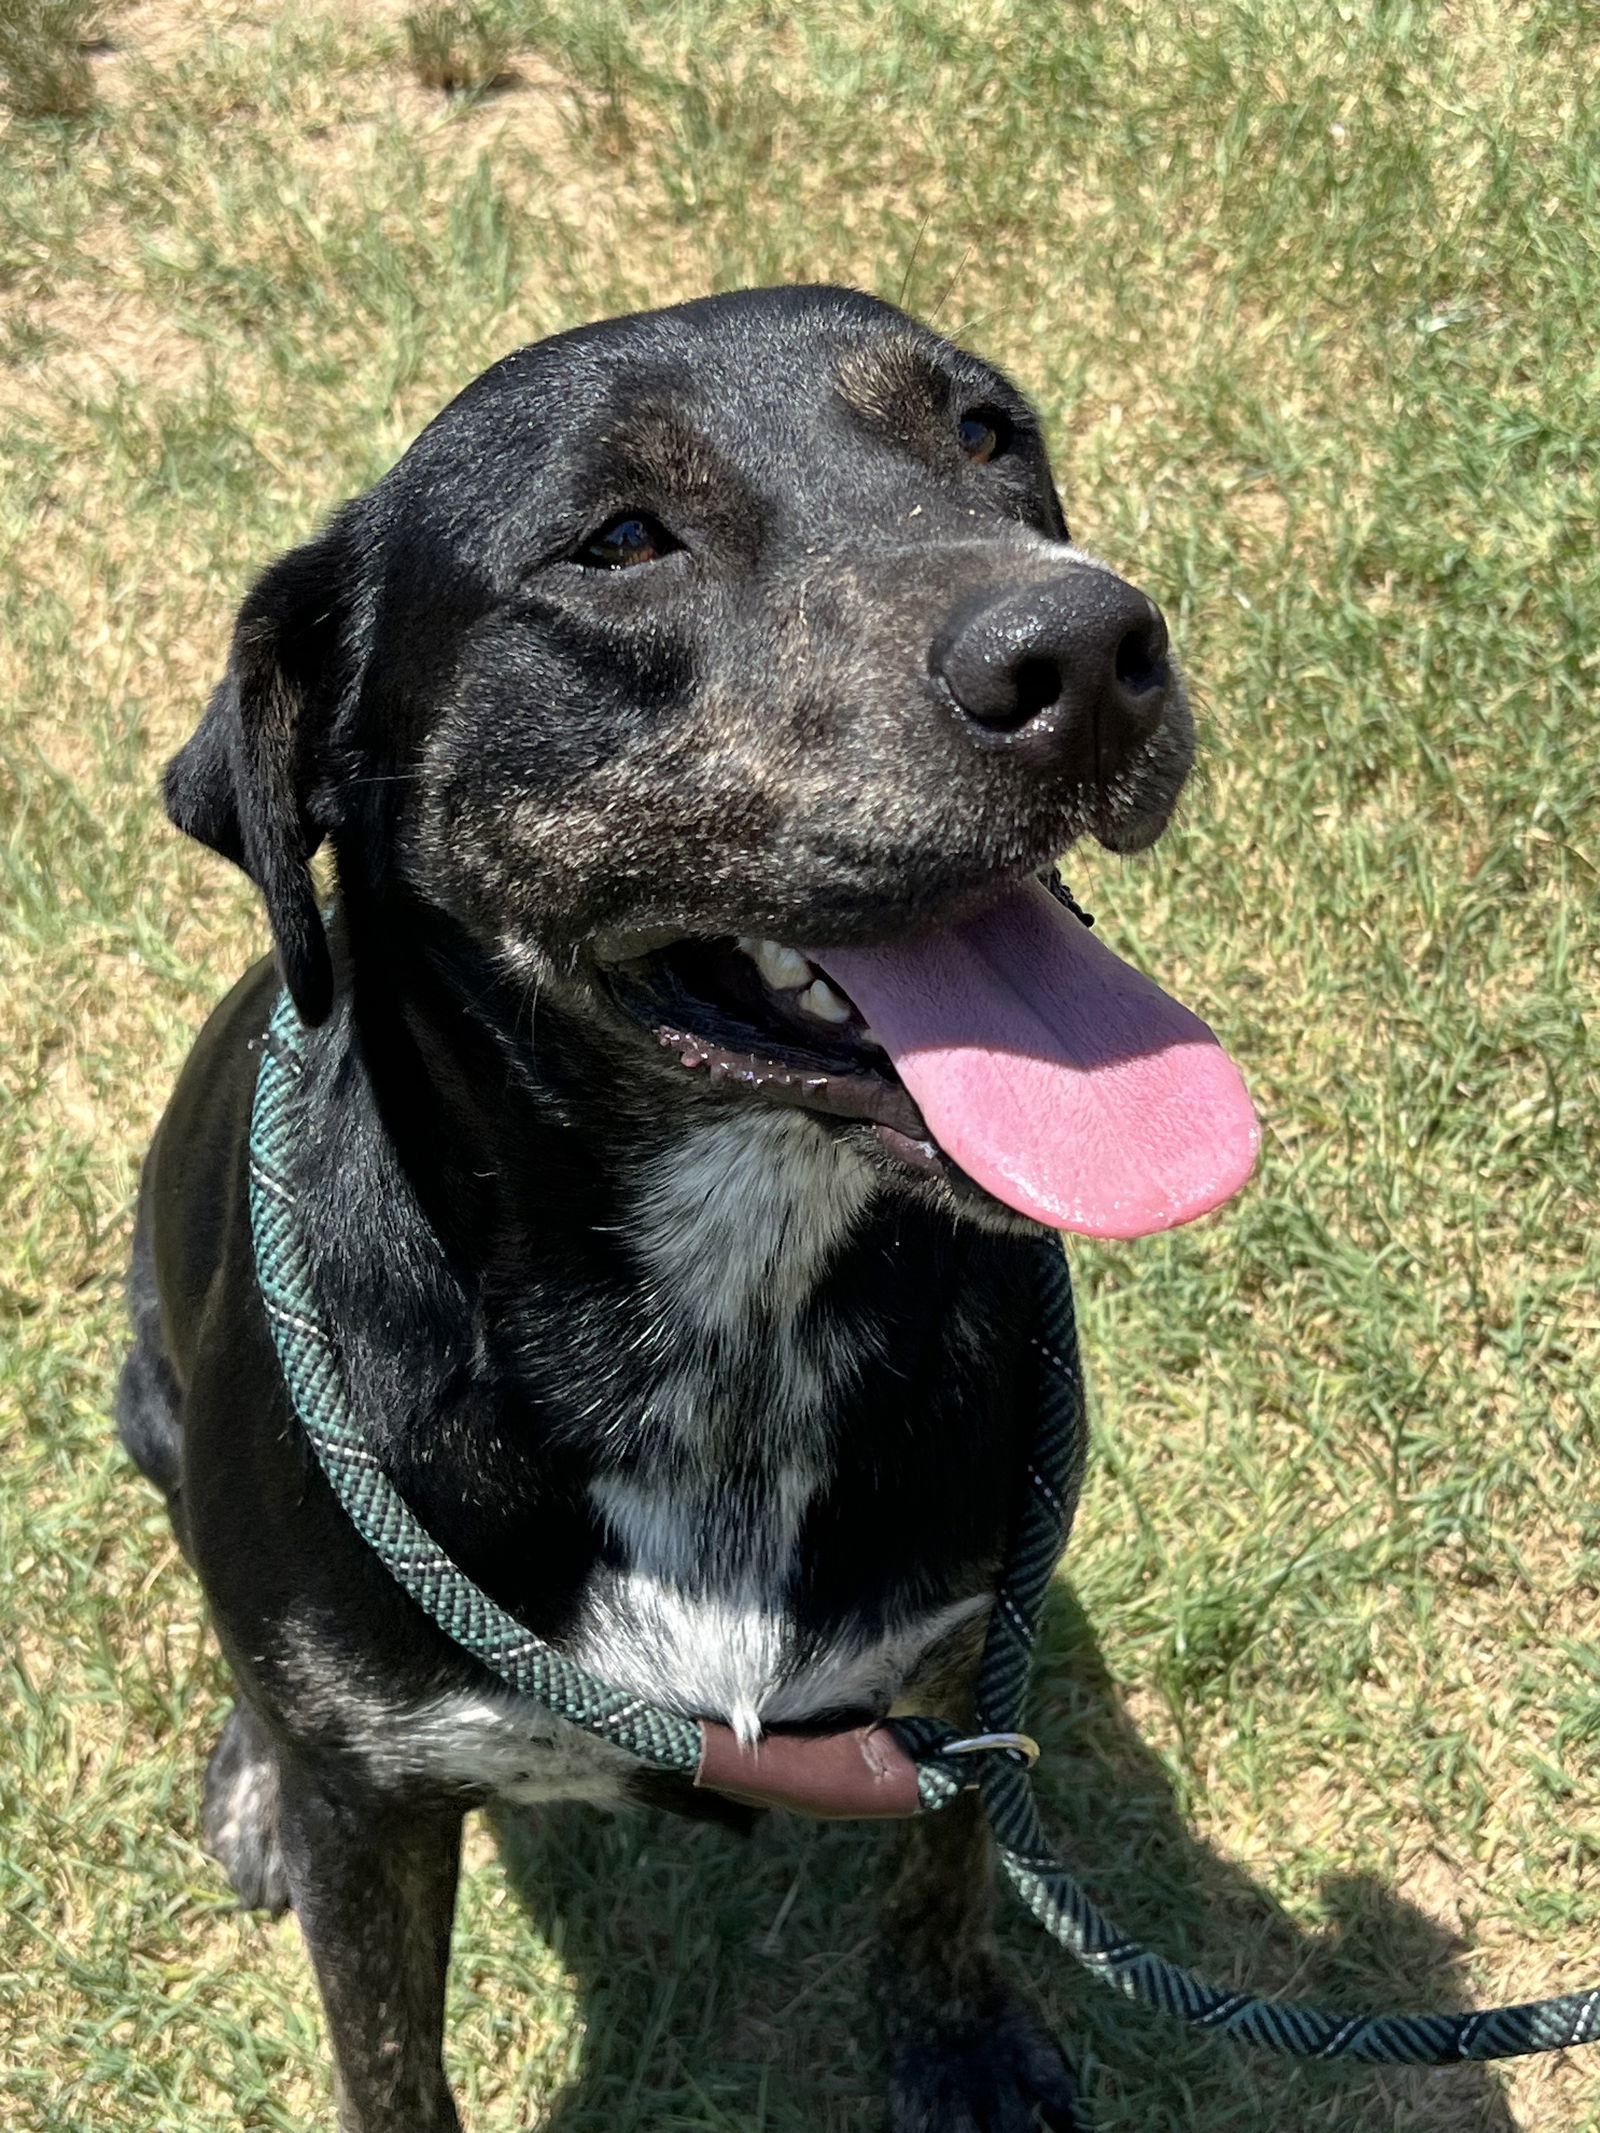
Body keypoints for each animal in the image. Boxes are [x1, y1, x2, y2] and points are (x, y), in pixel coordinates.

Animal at [122, 287, 1254, 2133]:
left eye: (986, 434)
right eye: (621, 541)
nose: (1090, 650)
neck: (730, 1311)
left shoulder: (967, 1663)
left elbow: (947, 1867)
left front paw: (957, 2040)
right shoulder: (376, 1817)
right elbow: (388, 2057)